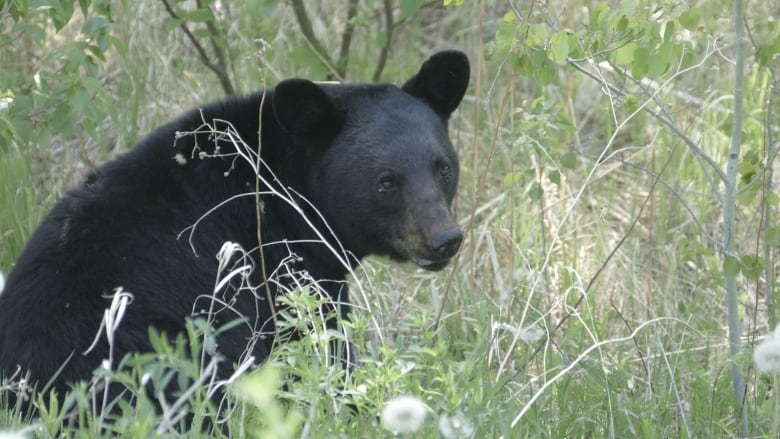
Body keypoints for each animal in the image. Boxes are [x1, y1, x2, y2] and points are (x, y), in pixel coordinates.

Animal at [0, 50, 470, 412]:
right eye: (386, 182)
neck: (280, 188)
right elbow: (320, 345)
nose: (445, 239)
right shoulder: (281, 267)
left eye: (443, 168)